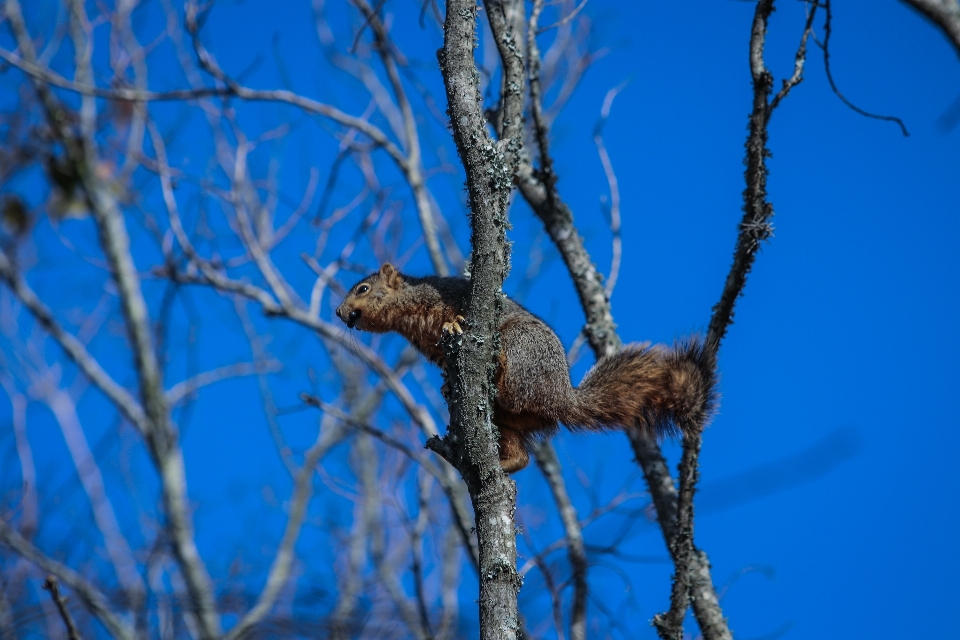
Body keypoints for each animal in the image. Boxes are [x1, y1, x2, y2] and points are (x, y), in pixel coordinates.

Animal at [334, 262, 716, 476]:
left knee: (514, 388)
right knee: (521, 453)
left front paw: (455, 324)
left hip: (522, 348)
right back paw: (503, 464)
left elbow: (457, 315)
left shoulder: (446, 298)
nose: (338, 312)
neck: (408, 317)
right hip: (511, 422)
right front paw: (445, 384)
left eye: (363, 288)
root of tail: (561, 398)